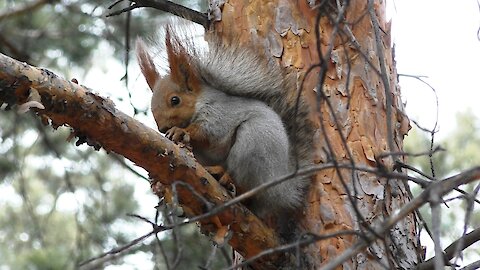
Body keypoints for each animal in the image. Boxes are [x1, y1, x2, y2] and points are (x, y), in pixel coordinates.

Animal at [135, 25, 316, 239]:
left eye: (175, 100)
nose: (162, 128)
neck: (200, 102)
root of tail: (282, 189)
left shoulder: (220, 114)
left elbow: (208, 131)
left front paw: (181, 131)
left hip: (254, 144)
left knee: (247, 184)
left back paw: (225, 176)